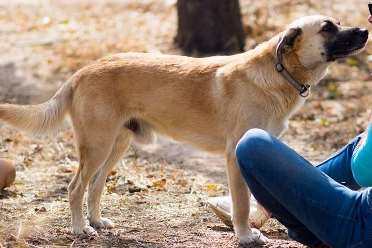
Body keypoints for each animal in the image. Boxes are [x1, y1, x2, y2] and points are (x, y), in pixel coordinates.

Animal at [0, 16, 368, 245]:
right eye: (327, 28)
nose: (365, 30)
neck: (277, 73)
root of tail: (81, 71)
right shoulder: (235, 157)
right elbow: (242, 204)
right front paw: (246, 236)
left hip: (116, 145)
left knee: (95, 186)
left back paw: (96, 222)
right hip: (98, 145)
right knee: (76, 187)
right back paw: (80, 229)